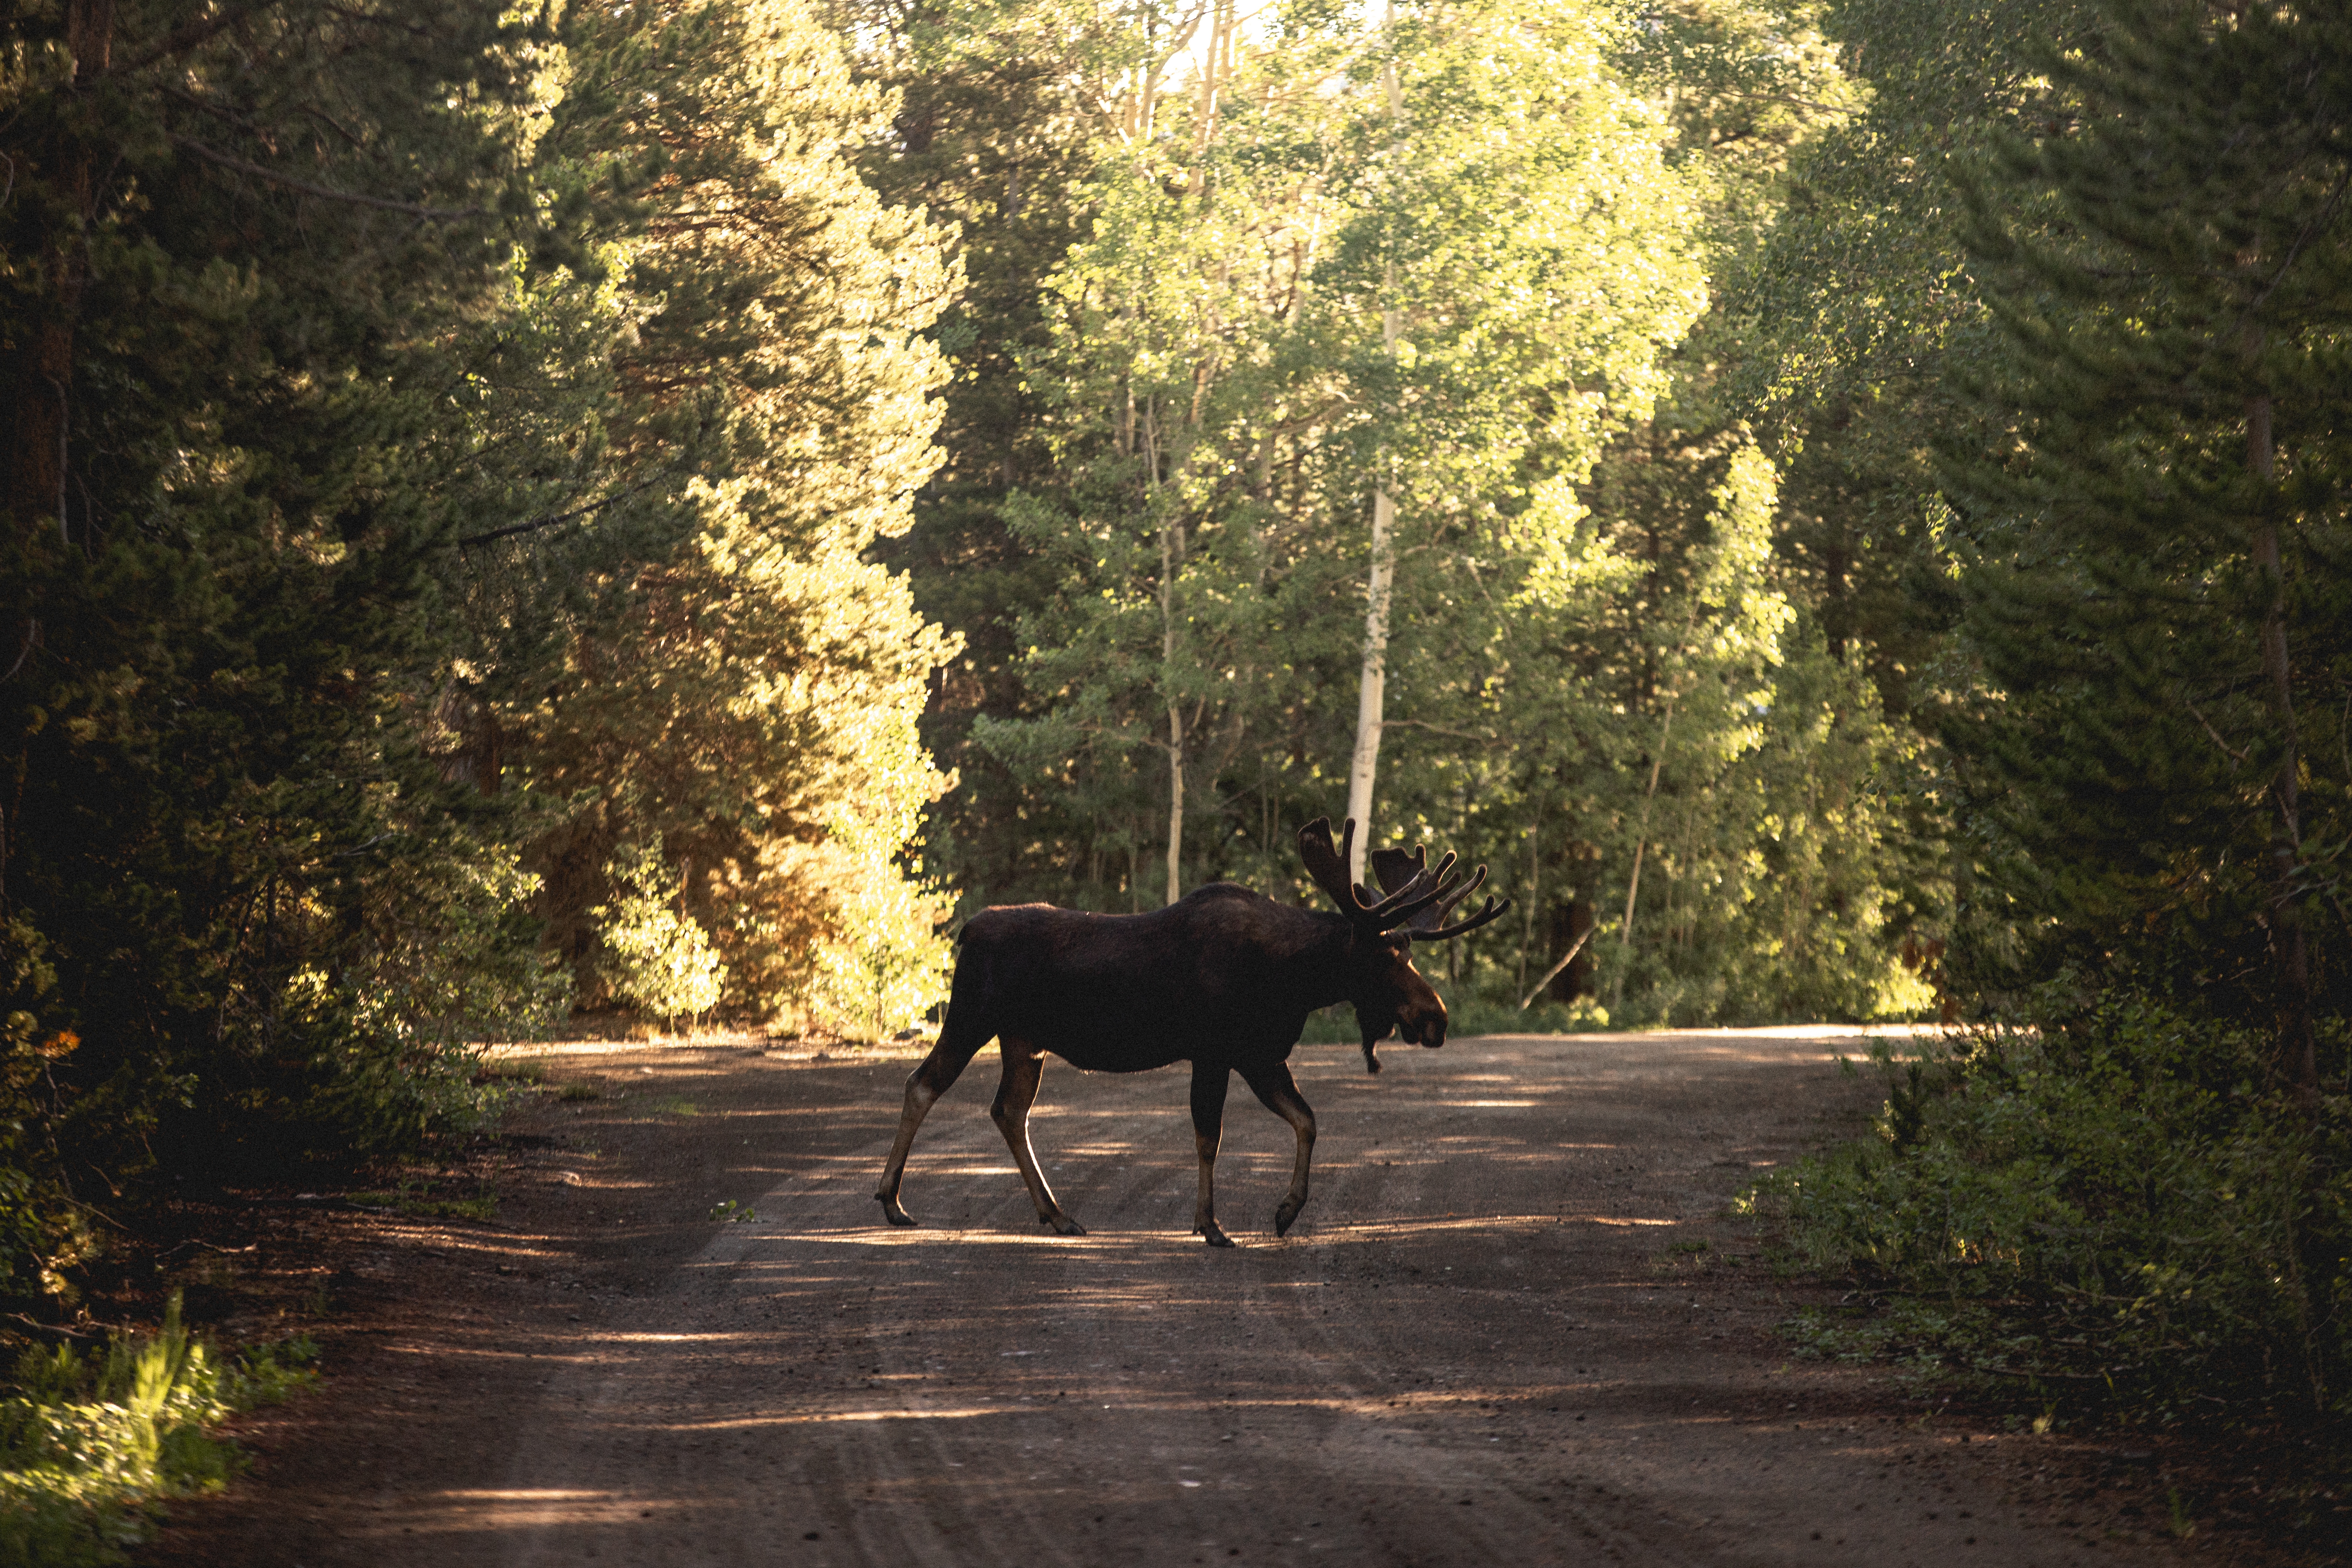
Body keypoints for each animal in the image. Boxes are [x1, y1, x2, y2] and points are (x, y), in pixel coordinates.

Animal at [873, 816, 1509, 1246]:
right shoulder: (1216, 1050)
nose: (1437, 1018)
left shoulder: (1260, 1054)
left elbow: (1307, 1120)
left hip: (1025, 1042)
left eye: (1409, 951)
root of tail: (966, 931)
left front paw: (1286, 1212)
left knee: (1008, 1110)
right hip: (973, 1016)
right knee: (923, 1084)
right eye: (1384, 956)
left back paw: (1057, 1213)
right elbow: (1211, 1136)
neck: (1292, 980)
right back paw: (892, 1200)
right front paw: (1212, 1224)